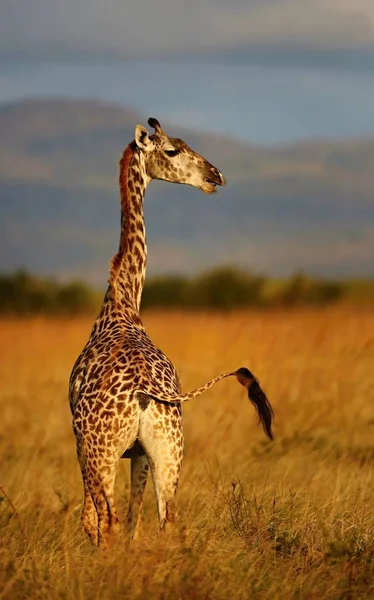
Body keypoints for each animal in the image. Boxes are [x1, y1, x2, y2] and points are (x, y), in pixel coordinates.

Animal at [69, 118, 274, 548]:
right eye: (173, 150)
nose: (216, 175)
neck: (123, 302)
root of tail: (145, 393)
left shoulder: (84, 442)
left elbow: (92, 520)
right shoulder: (140, 454)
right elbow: (135, 521)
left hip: (100, 451)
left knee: (105, 520)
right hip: (168, 451)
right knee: (166, 520)